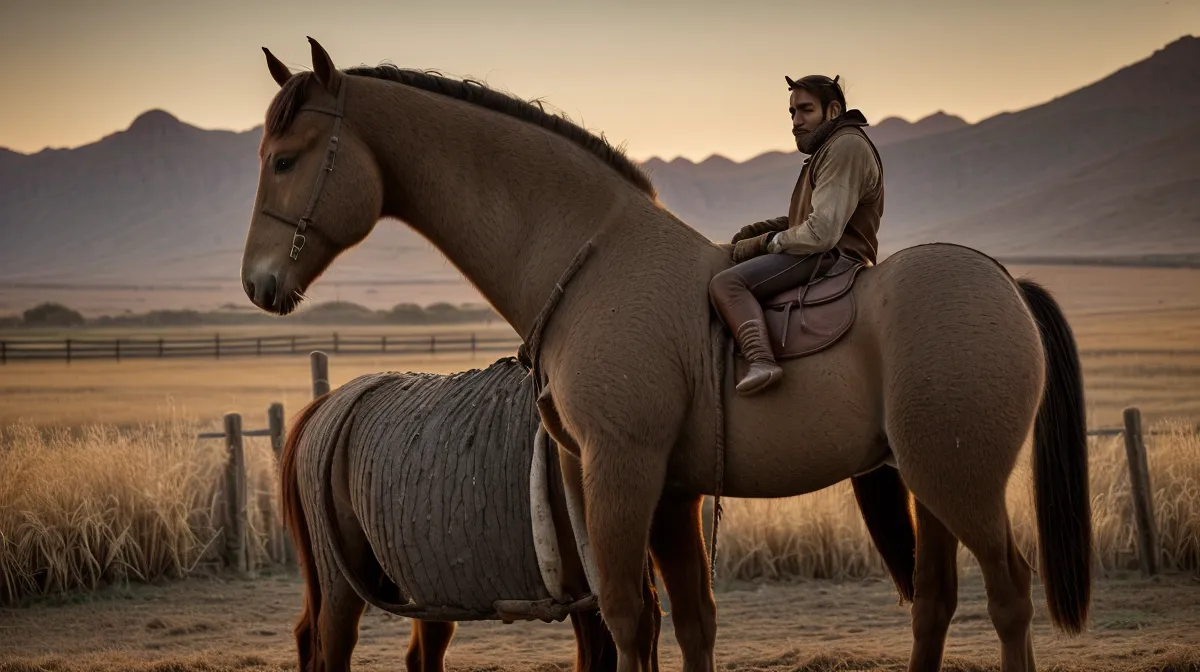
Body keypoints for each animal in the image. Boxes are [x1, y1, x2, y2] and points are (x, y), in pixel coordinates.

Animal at [279, 357, 662, 672]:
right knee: (335, 638)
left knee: (421, 649)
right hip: (339, 567)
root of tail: (327, 404)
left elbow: (640, 626)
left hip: (425, 573)